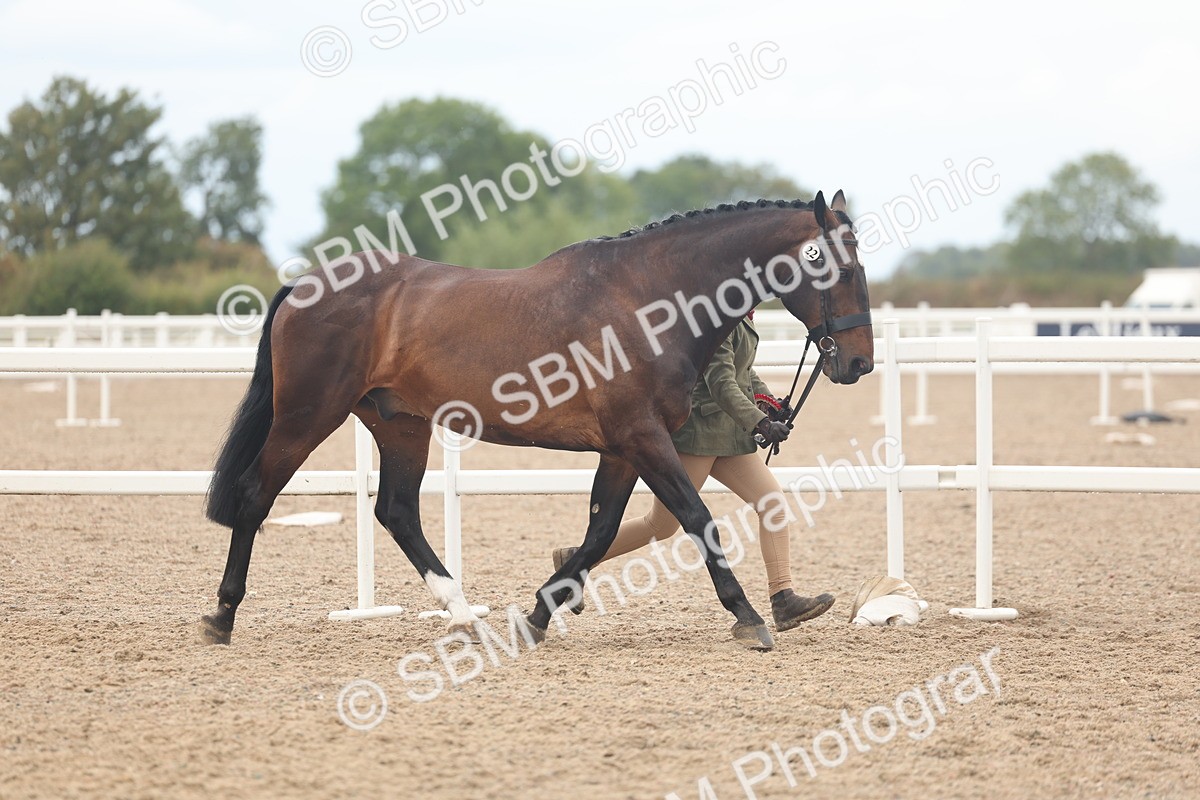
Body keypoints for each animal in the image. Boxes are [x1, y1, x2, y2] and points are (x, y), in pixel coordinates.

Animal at [200, 191, 873, 651]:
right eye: (842, 271)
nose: (859, 363)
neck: (646, 297)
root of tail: (303, 287)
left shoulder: (622, 449)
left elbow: (600, 532)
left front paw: (539, 615)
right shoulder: (643, 438)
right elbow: (696, 518)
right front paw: (750, 618)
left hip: (400, 424)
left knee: (397, 511)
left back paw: (464, 614)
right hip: (308, 415)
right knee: (256, 495)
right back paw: (222, 616)